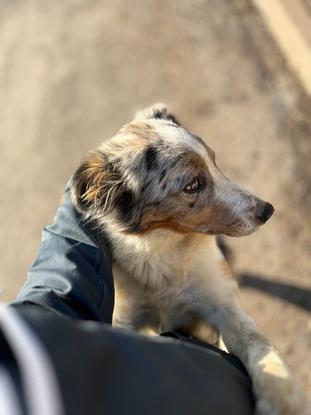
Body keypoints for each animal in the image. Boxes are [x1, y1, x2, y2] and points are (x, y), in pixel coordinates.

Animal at [71, 105, 310, 414]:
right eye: (193, 184)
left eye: (215, 161)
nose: (267, 211)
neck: (164, 251)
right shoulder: (126, 319)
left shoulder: (223, 304)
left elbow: (258, 343)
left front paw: (284, 396)